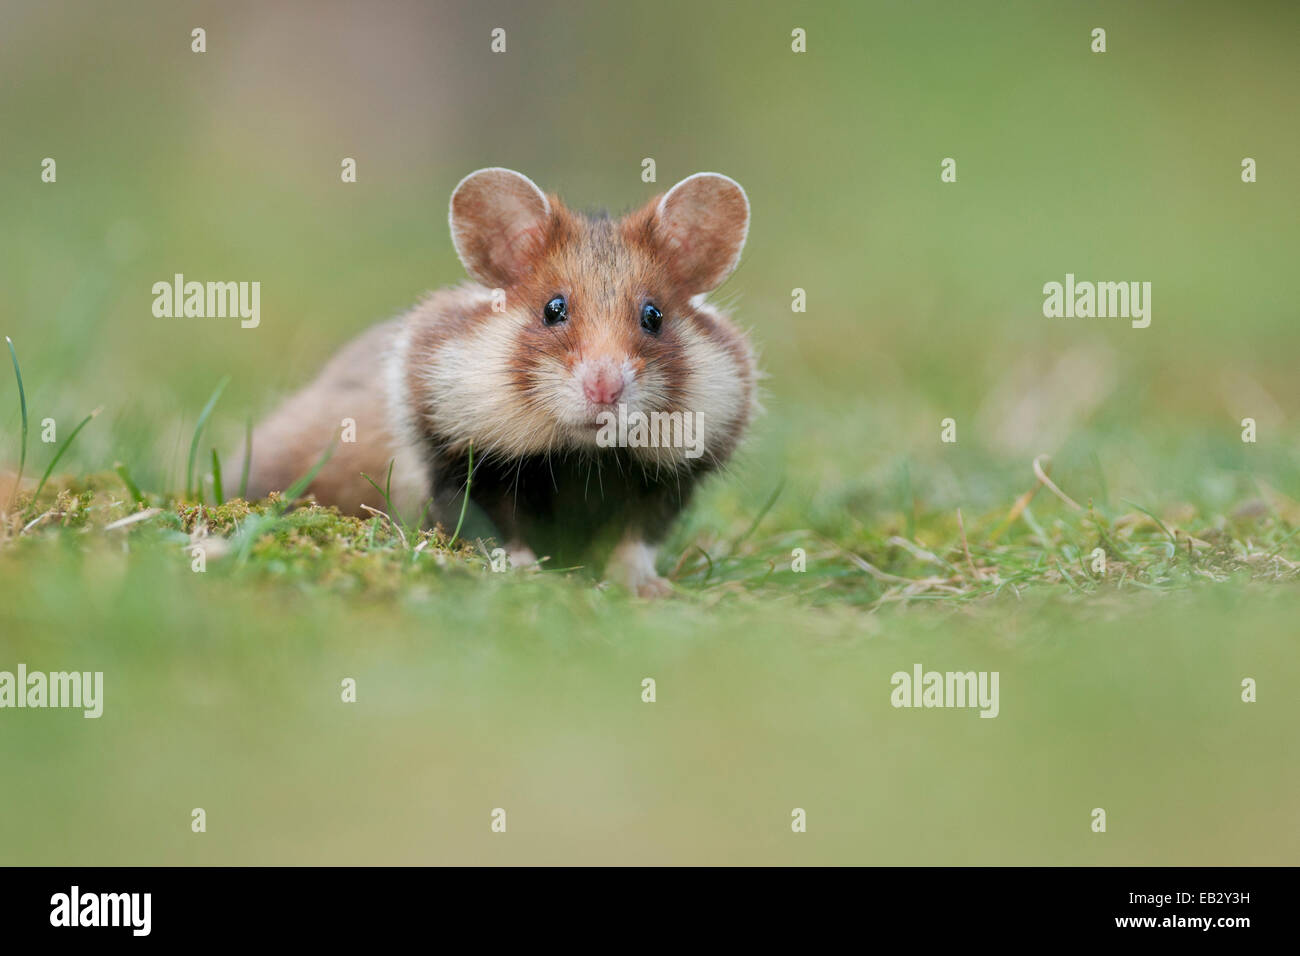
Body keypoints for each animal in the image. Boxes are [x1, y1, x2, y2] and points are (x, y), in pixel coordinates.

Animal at [239, 167, 759, 595]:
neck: (583, 458)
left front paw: (650, 590)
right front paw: (531, 576)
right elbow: (496, 532)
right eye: (553, 309)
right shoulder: (457, 463)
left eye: (653, 316)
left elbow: (635, 541)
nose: (604, 389)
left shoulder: (669, 482)